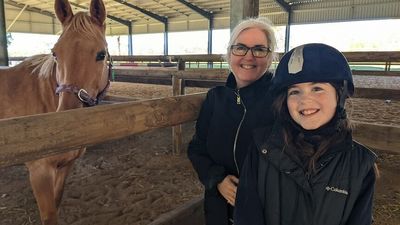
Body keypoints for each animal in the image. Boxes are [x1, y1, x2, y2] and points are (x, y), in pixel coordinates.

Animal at [0, 0, 110, 224]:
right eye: (55, 53)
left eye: (101, 54)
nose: (67, 119)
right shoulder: (39, 171)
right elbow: (49, 216)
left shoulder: (65, 166)